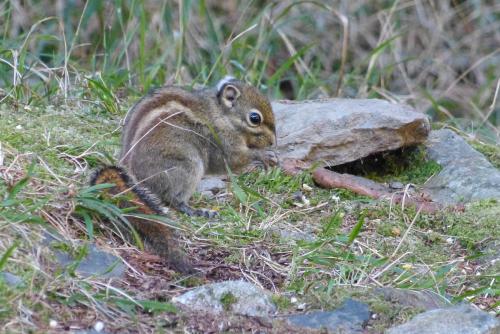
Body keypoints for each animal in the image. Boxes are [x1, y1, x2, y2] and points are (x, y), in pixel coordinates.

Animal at [90, 77, 278, 272]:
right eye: (255, 118)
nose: (273, 141)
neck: (222, 114)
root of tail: (131, 176)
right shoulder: (222, 140)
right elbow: (232, 160)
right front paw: (263, 156)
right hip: (188, 167)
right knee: (174, 200)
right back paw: (197, 211)